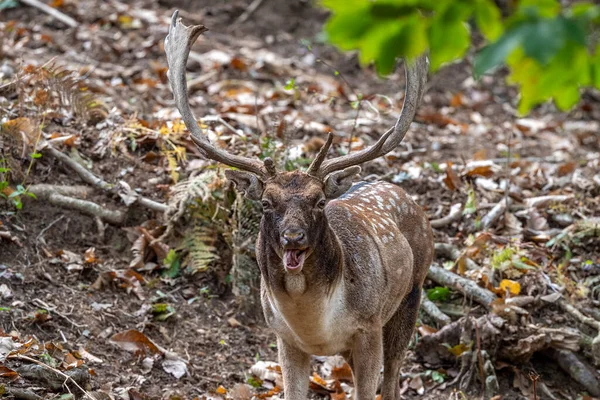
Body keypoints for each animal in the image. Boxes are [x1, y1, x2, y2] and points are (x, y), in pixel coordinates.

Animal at [166, 10, 434, 398]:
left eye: (319, 201)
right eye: (265, 203)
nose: (293, 237)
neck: (315, 326)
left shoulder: (368, 327)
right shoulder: (284, 337)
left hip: (412, 293)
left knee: (393, 380)